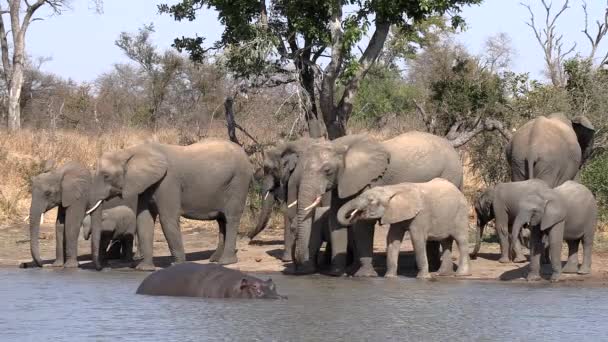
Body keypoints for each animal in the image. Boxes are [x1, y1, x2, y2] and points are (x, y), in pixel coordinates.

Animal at [86, 138, 253, 270]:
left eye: (106, 176)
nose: (102, 268)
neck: (131, 151)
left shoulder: (168, 181)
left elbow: (167, 218)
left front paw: (178, 265)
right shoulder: (146, 185)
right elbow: (144, 219)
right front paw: (144, 269)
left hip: (239, 181)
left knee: (231, 217)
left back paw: (225, 262)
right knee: (221, 220)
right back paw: (215, 259)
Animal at [338, 178, 470, 280]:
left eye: (371, 200)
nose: (352, 216)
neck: (392, 189)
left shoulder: (421, 215)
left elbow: (417, 239)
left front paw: (423, 278)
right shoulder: (396, 213)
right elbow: (392, 239)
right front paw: (389, 277)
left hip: (461, 214)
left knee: (461, 240)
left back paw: (461, 275)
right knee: (445, 241)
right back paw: (443, 274)